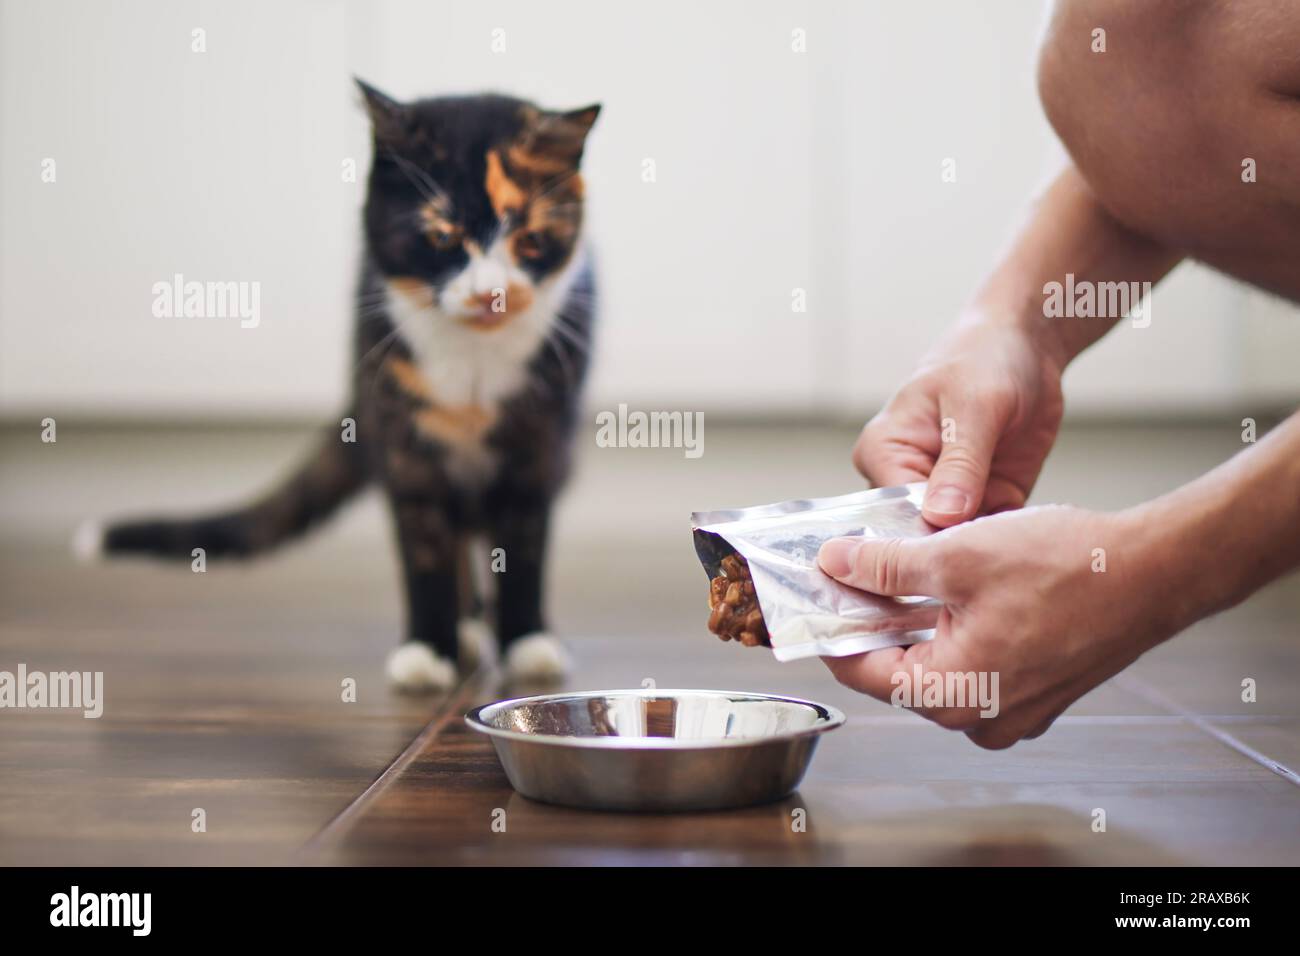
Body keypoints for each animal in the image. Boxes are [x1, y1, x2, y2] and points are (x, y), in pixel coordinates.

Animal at [79, 80, 603, 686]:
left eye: (529, 237)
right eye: (441, 236)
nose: (489, 293)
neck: (472, 364)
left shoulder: (540, 442)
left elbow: (523, 548)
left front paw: (528, 641)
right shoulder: (402, 443)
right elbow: (426, 552)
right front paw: (429, 650)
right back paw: (467, 631)